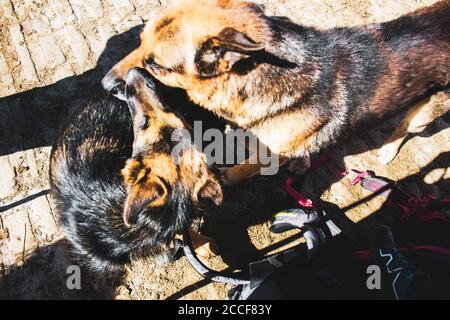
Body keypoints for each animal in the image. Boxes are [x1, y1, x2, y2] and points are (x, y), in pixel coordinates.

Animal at [102, 0, 450, 184]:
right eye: (139, 40)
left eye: (155, 64)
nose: (104, 84)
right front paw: (302, 162)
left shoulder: (267, 155)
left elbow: (244, 169)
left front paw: (227, 178)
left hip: (426, 113)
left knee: (406, 126)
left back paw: (389, 149)